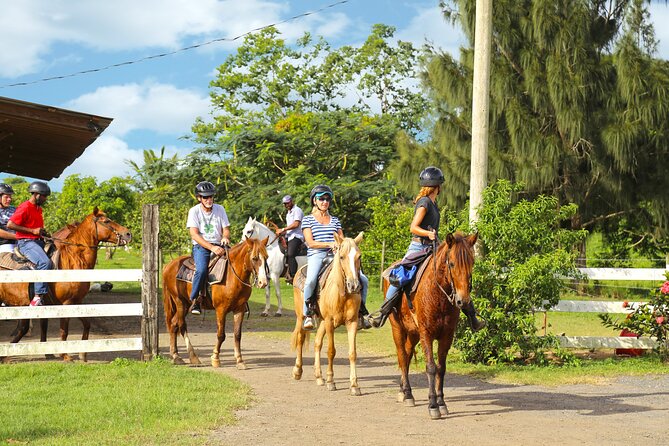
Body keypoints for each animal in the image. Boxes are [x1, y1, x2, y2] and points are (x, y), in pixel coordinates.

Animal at [0, 207, 132, 360]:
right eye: (106, 221)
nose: (128, 234)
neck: (71, 261)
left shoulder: (77, 301)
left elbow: (87, 324)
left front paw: (82, 354)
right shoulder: (66, 303)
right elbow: (64, 330)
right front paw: (65, 355)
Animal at [162, 239, 268, 368]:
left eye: (266, 257)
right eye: (254, 258)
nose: (263, 282)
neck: (232, 276)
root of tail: (169, 265)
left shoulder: (240, 309)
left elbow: (237, 335)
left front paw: (239, 360)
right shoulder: (221, 309)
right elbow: (221, 335)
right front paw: (215, 358)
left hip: (186, 304)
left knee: (173, 324)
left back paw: (176, 356)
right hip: (180, 302)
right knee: (182, 325)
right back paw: (193, 357)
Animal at [290, 232, 362, 396]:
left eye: (359, 256)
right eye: (341, 256)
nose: (354, 285)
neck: (342, 293)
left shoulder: (352, 323)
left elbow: (352, 353)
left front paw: (354, 385)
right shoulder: (330, 321)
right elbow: (331, 351)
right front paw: (331, 381)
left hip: (322, 321)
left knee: (317, 343)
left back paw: (319, 376)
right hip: (301, 317)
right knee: (300, 339)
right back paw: (297, 371)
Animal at [388, 232, 478, 420]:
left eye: (472, 263)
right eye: (452, 263)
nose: (463, 300)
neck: (439, 295)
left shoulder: (446, 335)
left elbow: (441, 369)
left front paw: (442, 403)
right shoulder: (426, 334)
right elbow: (430, 367)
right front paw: (433, 405)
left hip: (413, 333)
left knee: (407, 355)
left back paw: (404, 391)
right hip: (398, 329)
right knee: (402, 356)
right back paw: (408, 393)